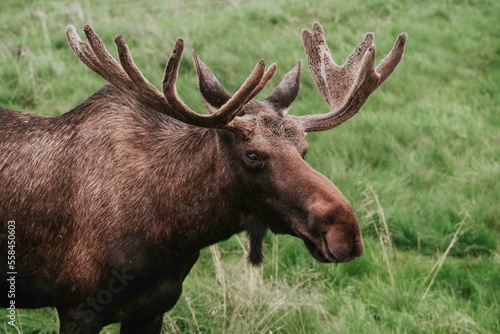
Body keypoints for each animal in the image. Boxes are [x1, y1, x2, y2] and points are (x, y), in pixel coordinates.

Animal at [0, 22, 406, 332]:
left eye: (304, 149)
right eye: (252, 154)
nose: (346, 233)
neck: (176, 232)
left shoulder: (153, 309)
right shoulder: (77, 307)